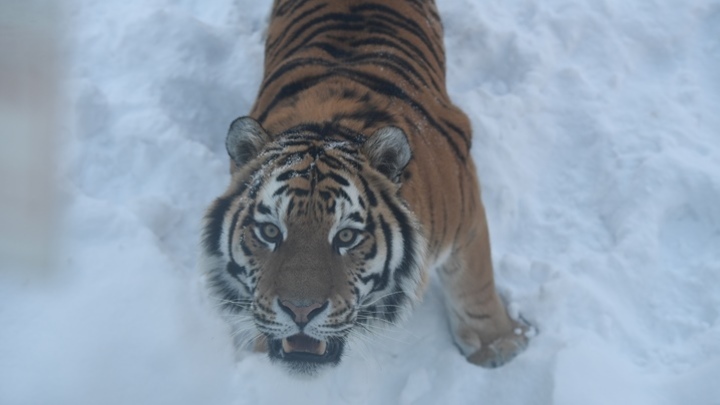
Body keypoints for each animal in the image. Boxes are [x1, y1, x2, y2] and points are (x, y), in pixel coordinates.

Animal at [201, 0, 528, 376]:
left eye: (346, 236)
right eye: (269, 231)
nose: (301, 311)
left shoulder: (467, 217)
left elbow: (474, 285)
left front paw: (499, 347)